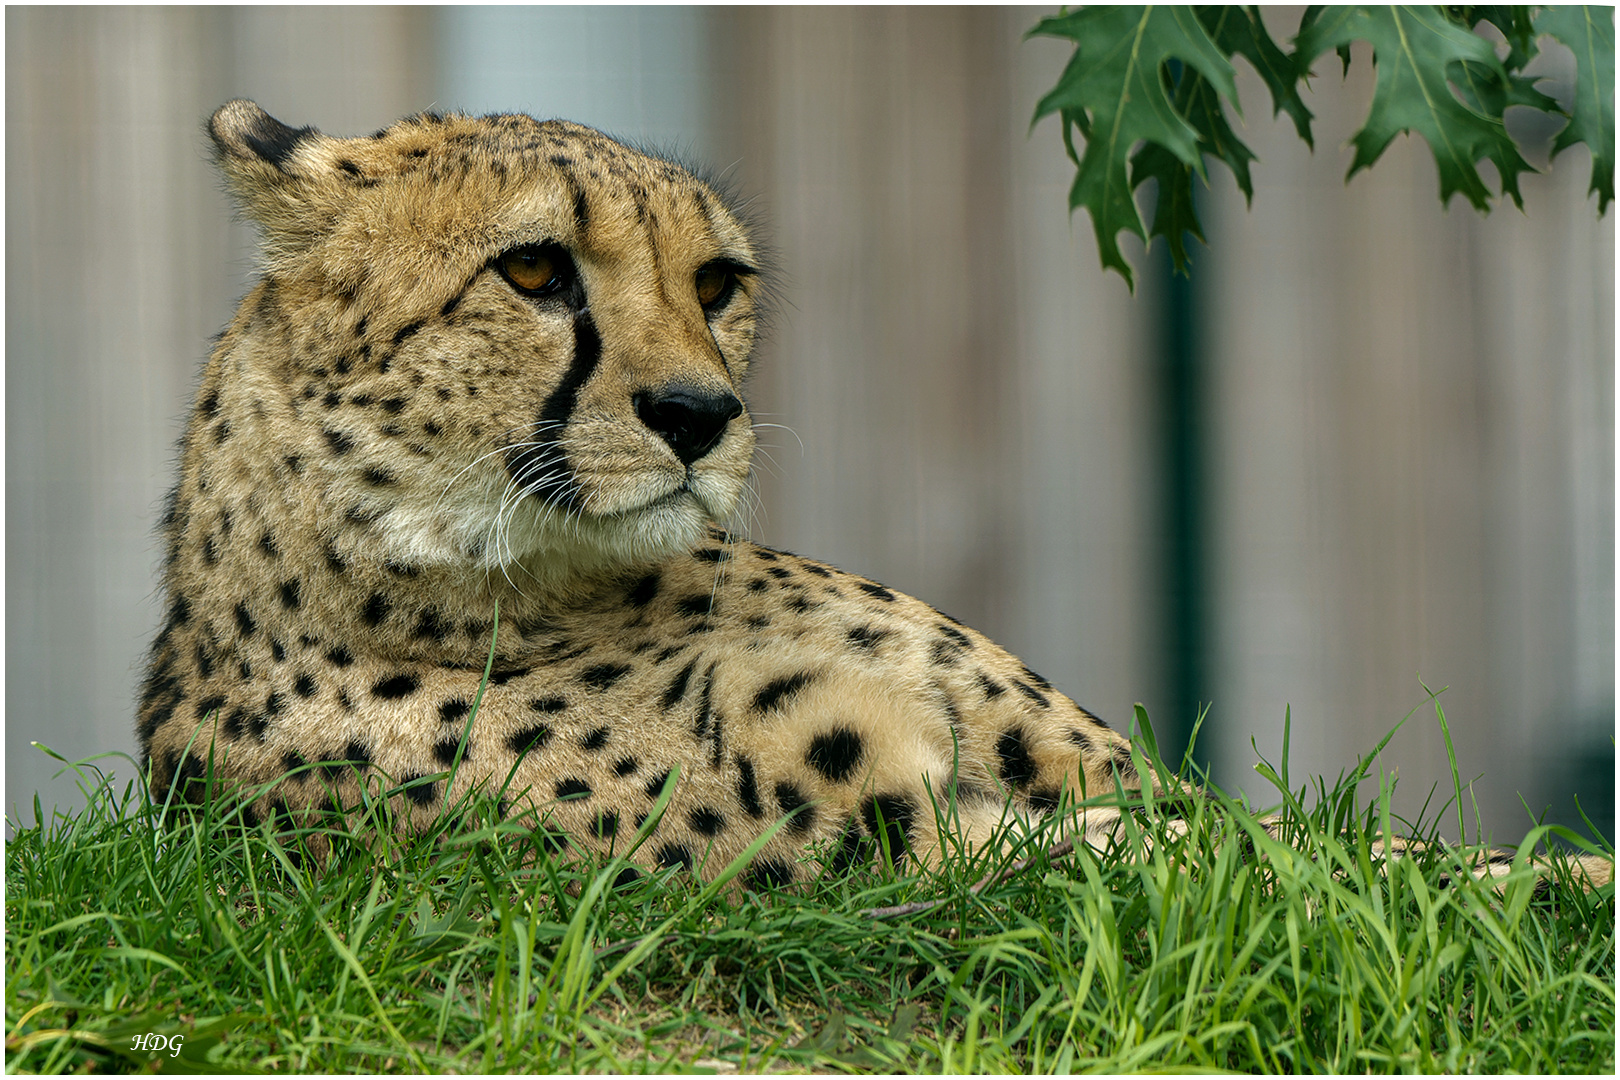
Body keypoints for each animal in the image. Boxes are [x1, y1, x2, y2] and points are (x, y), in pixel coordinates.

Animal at [139, 101, 1607, 893]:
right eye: (534, 272)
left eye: (715, 284)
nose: (698, 416)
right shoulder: (896, 853)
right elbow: (1257, 872)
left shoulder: (1066, 771)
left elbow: (1307, 841)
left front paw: (1555, 877)